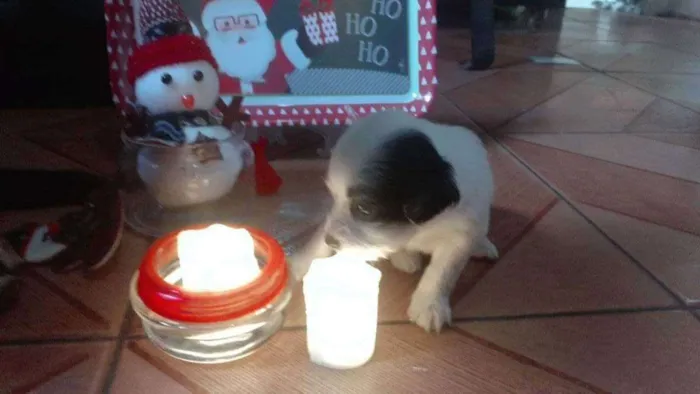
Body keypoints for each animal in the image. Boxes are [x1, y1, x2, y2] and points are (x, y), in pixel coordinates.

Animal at [290, 111, 498, 332]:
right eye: (333, 196)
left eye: (364, 209)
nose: (331, 241)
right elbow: (322, 229)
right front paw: (302, 261)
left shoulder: (460, 234)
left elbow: (443, 271)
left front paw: (430, 306)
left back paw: (482, 245)